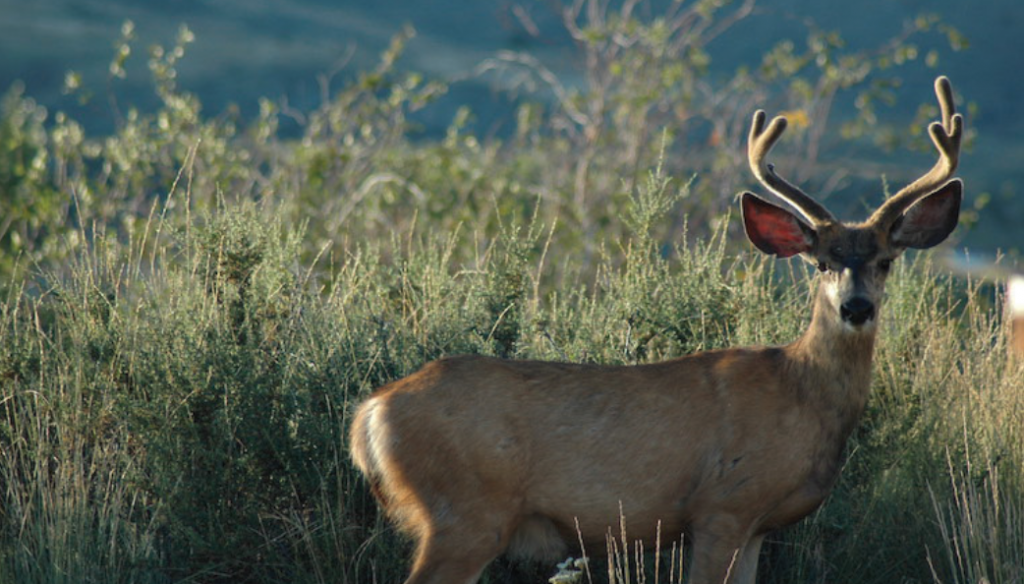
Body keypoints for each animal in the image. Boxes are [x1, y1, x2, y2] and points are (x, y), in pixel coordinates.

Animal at [349, 76, 964, 584]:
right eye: (820, 263)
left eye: (886, 260)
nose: (856, 307)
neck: (801, 393)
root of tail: (371, 412)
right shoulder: (722, 507)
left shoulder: (756, 527)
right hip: (466, 512)